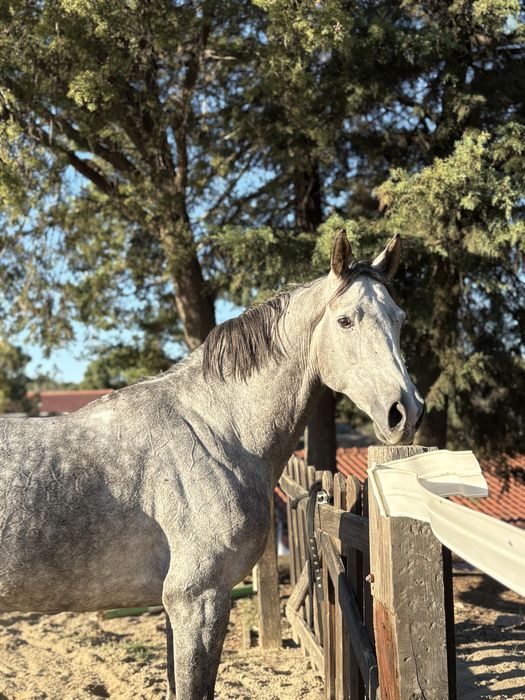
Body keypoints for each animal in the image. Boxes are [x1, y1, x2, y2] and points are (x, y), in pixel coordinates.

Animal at [0, 230, 424, 699]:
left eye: (399, 319)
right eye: (346, 321)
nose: (405, 412)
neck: (215, 430)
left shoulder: (178, 606)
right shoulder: (197, 601)